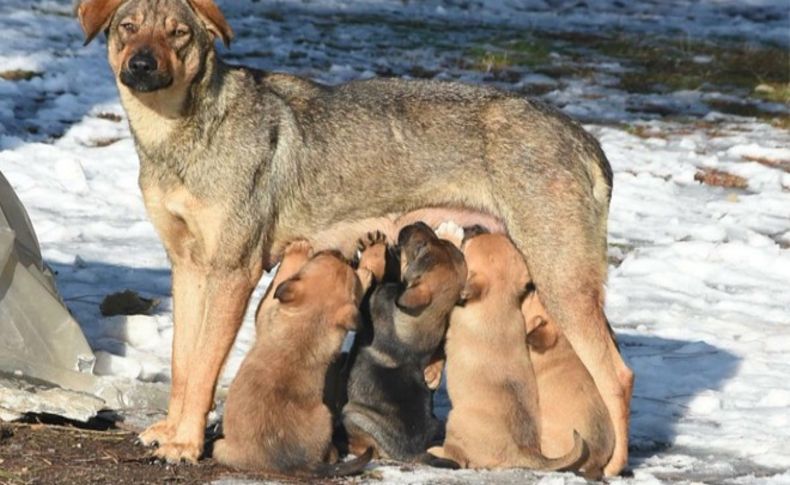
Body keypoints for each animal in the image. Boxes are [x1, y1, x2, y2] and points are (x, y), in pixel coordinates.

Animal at [344, 223, 468, 462]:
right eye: (435, 242)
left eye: (420, 247)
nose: (418, 222)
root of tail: (413, 455)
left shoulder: (375, 298)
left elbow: (379, 272)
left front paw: (373, 250)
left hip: (353, 416)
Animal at [426, 233, 588, 470]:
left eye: (468, 247)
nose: (472, 230)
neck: (498, 302)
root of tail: (524, 452)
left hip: (456, 419)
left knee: (458, 457)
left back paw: (436, 450)